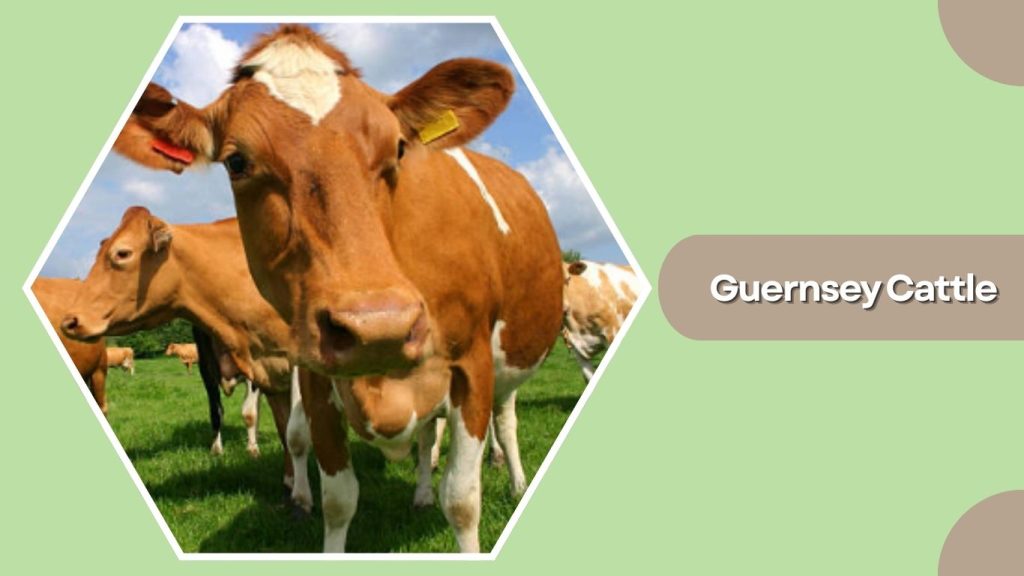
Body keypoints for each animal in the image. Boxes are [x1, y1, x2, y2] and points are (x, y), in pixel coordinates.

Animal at [60, 208, 313, 512]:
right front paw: (288, 481)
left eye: (122, 253)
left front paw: (302, 497)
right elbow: (278, 428)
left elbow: (292, 431)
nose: (69, 321)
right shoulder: (262, 369)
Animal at [110, 24, 564, 553]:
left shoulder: (471, 365)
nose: (379, 327)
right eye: (236, 161)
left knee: (505, 421)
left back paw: (512, 479)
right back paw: (421, 492)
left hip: (510, 357)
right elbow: (337, 496)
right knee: (427, 437)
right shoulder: (313, 374)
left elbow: (462, 500)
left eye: (399, 149)